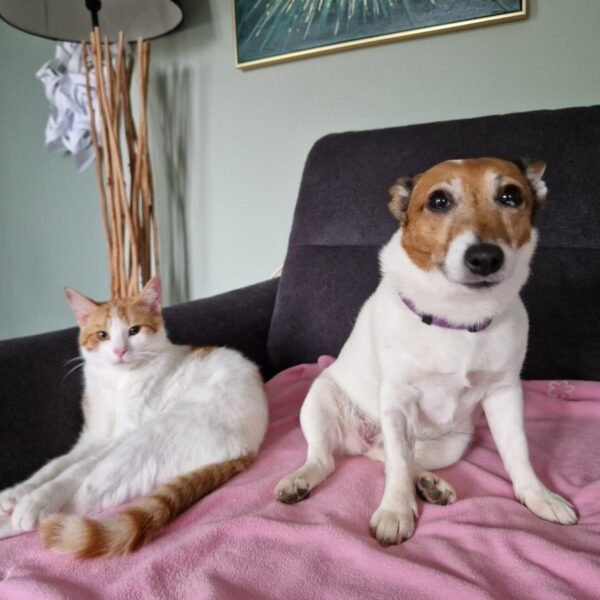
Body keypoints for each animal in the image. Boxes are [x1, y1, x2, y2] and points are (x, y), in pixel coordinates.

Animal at [0, 278, 268, 556]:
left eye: (134, 331)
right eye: (102, 335)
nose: (120, 351)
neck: (116, 381)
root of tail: (247, 450)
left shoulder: (120, 436)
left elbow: (72, 470)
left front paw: (34, 500)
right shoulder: (92, 438)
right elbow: (55, 465)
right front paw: (16, 493)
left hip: (141, 443)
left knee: (83, 500)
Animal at [276, 157, 576, 548]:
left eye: (511, 196)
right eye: (438, 201)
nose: (485, 258)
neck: (458, 316)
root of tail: (363, 441)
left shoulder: (505, 393)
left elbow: (518, 451)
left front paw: (538, 495)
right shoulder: (398, 399)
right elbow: (398, 465)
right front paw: (395, 511)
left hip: (451, 446)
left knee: (391, 459)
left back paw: (430, 484)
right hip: (320, 402)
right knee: (332, 458)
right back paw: (302, 478)